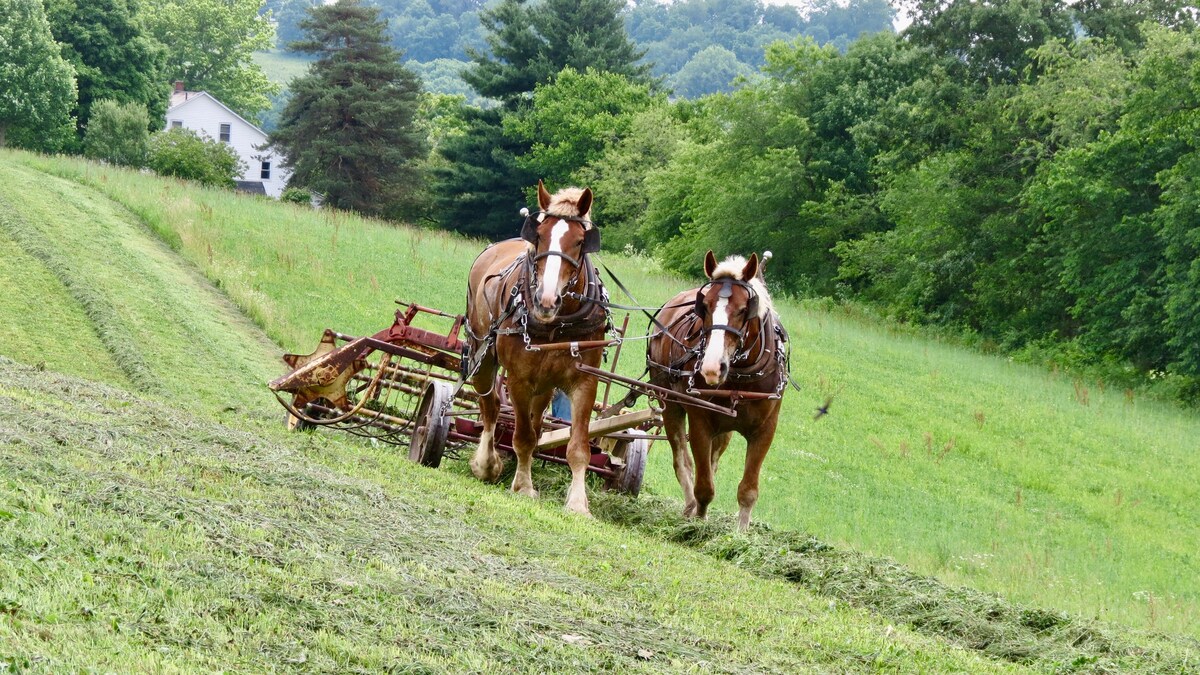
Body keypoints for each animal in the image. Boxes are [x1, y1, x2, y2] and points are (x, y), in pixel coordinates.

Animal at [460, 181, 609, 511]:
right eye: (539, 235)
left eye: (580, 241)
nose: (546, 300)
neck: (558, 323)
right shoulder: (519, 379)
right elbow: (523, 437)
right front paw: (524, 486)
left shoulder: (585, 381)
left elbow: (577, 446)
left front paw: (578, 503)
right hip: (482, 355)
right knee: (490, 407)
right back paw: (486, 463)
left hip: (545, 383)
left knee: (536, 419)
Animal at [648, 249, 787, 528]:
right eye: (705, 307)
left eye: (744, 309)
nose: (712, 368)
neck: (740, 377)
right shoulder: (700, 420)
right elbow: (703, 485)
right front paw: (699, 524)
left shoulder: (765, 429)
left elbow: (748, 490)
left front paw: (740, 532)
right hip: (669, 403)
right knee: (683, 459)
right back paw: (689, 506)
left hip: (725, 430)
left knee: (712, 461)